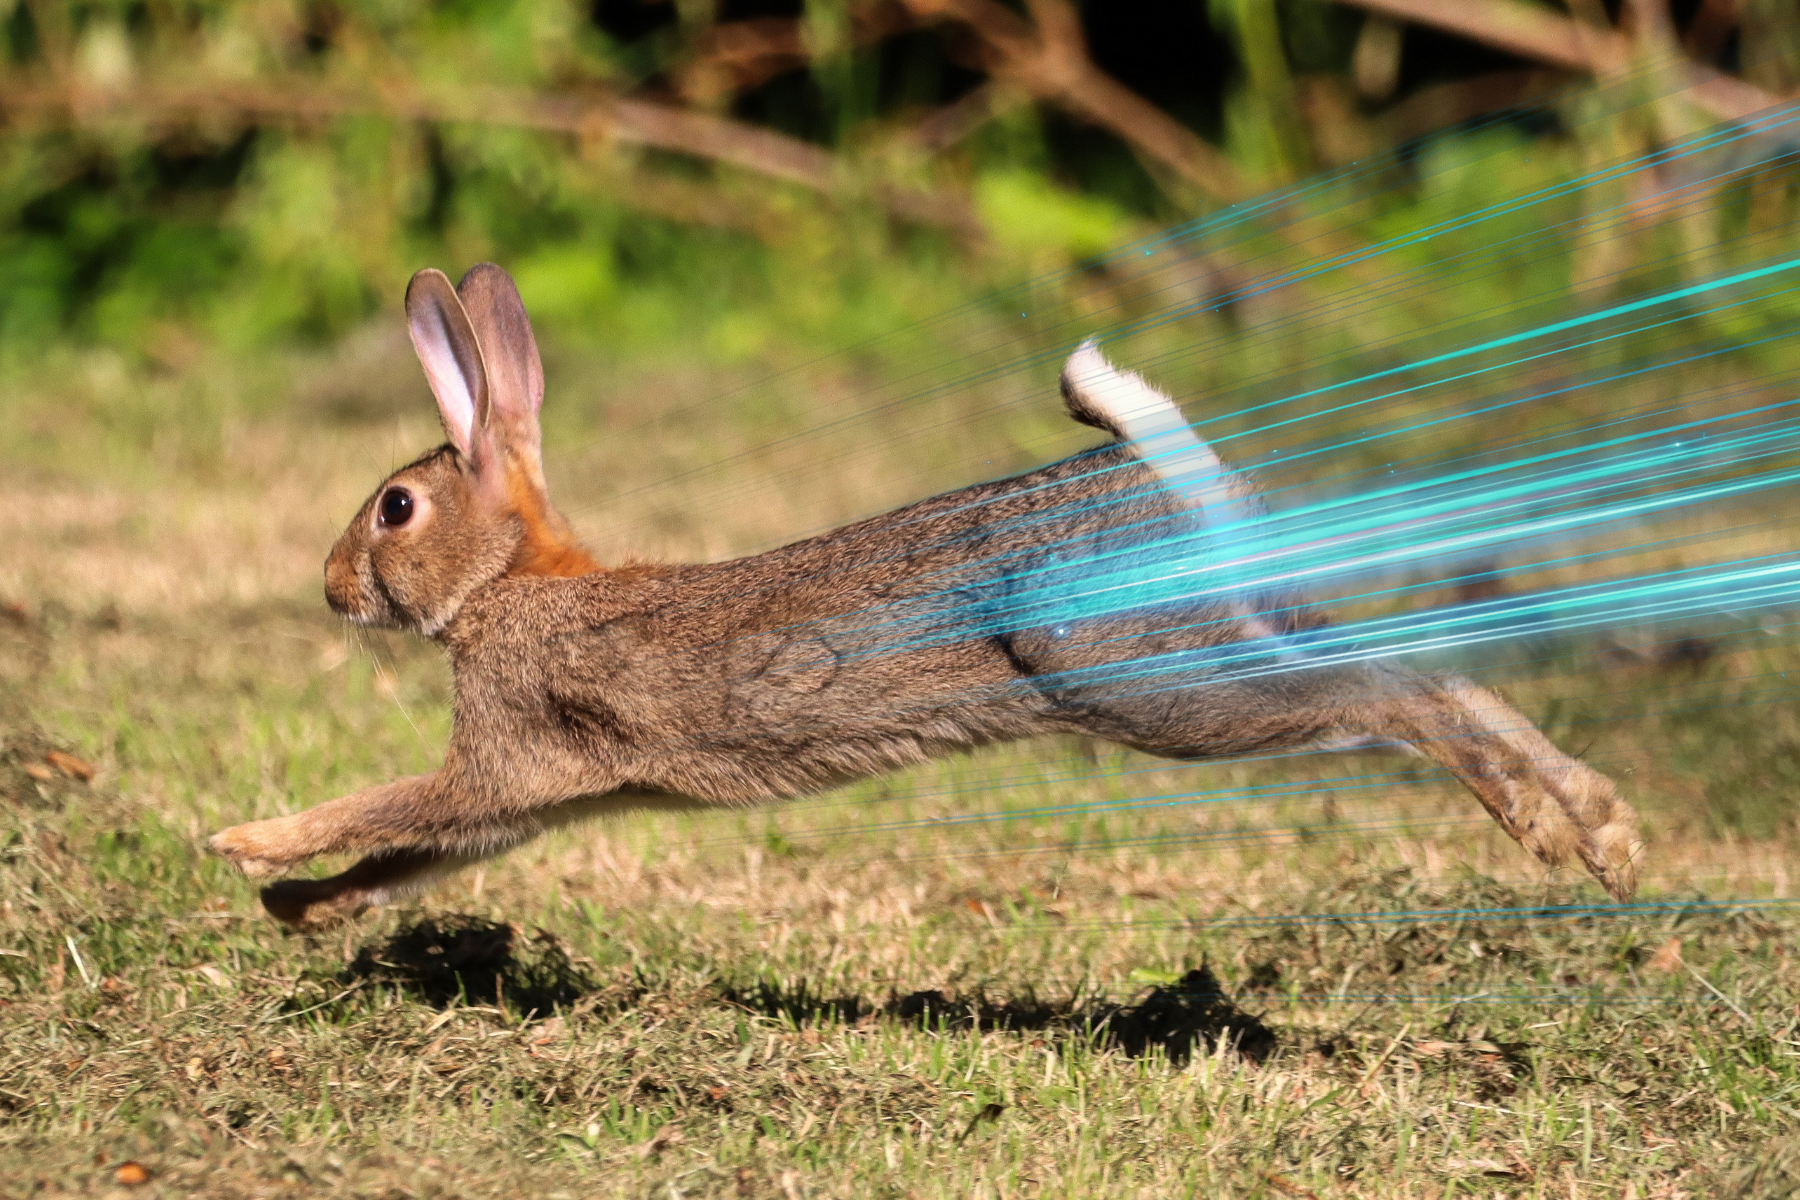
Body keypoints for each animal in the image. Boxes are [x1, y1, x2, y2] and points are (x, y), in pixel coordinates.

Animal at [209, 263, 1643, 929]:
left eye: (396, 508)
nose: (330, 587)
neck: (508, 582)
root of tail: (1158, 470)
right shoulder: (536, 800)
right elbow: (411, 856)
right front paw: (303, 912)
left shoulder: (504, 752)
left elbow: (390, 809)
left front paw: (244, 846)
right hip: (1236, 628)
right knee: (1433, 665)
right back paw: (1605, 830)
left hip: (1147, 684)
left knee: (1387, 696)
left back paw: (1546, 829)